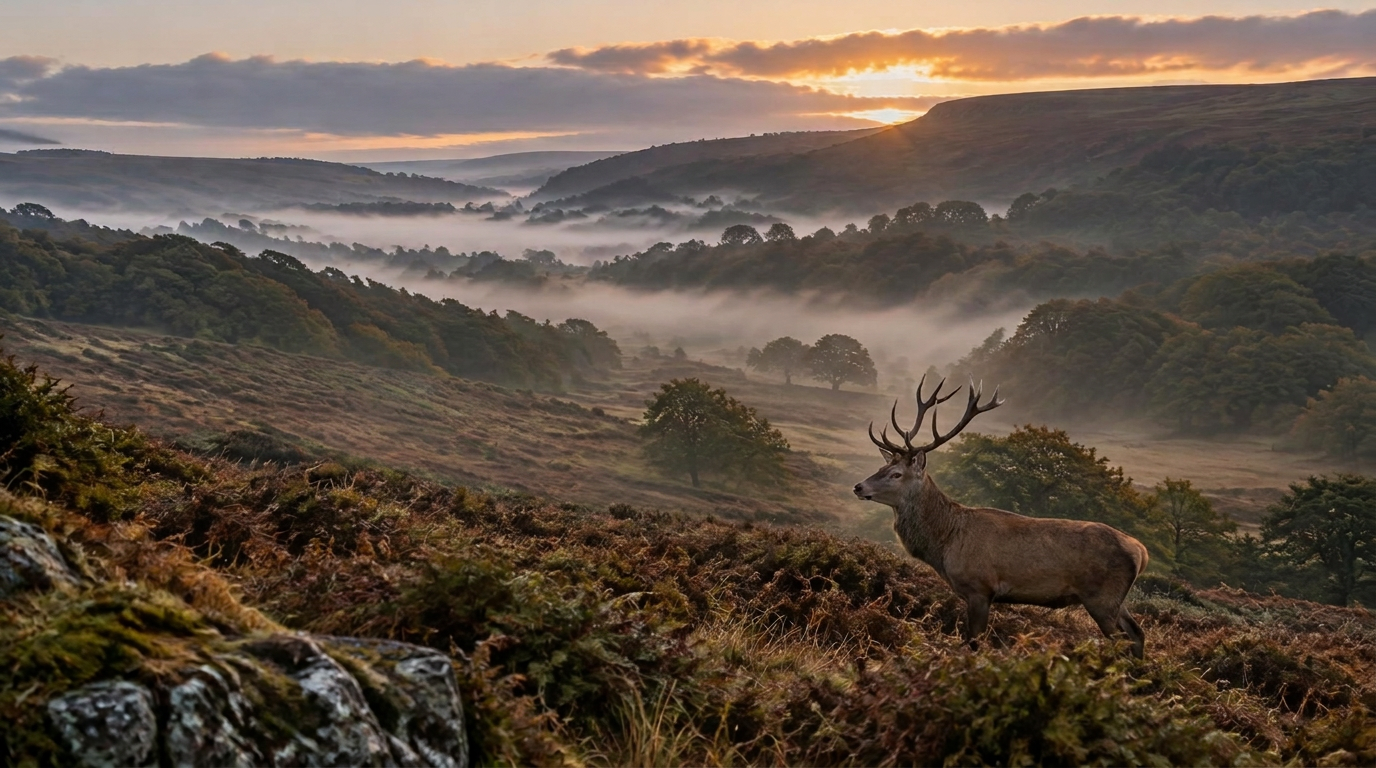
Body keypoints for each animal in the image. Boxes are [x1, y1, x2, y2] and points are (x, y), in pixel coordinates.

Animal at [853, 377, 1150, 658]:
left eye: (896, 474)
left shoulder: (980, 588)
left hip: (1102, 597)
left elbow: (974, 641)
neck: (946, 542)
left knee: (1124, 639)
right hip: (1115, 599)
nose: (858, 487)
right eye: (881, 467)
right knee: (1137, 633)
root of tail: (1141, 551)